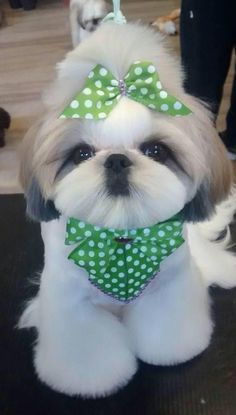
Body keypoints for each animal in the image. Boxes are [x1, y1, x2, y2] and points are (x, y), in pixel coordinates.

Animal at [18, 20, 236, 400]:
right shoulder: (72, 305)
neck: (120, 236)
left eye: (156, 151)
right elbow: (86, 352)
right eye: (81, 153)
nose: (117, 160)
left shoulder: (170, 288)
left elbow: (167, 329)